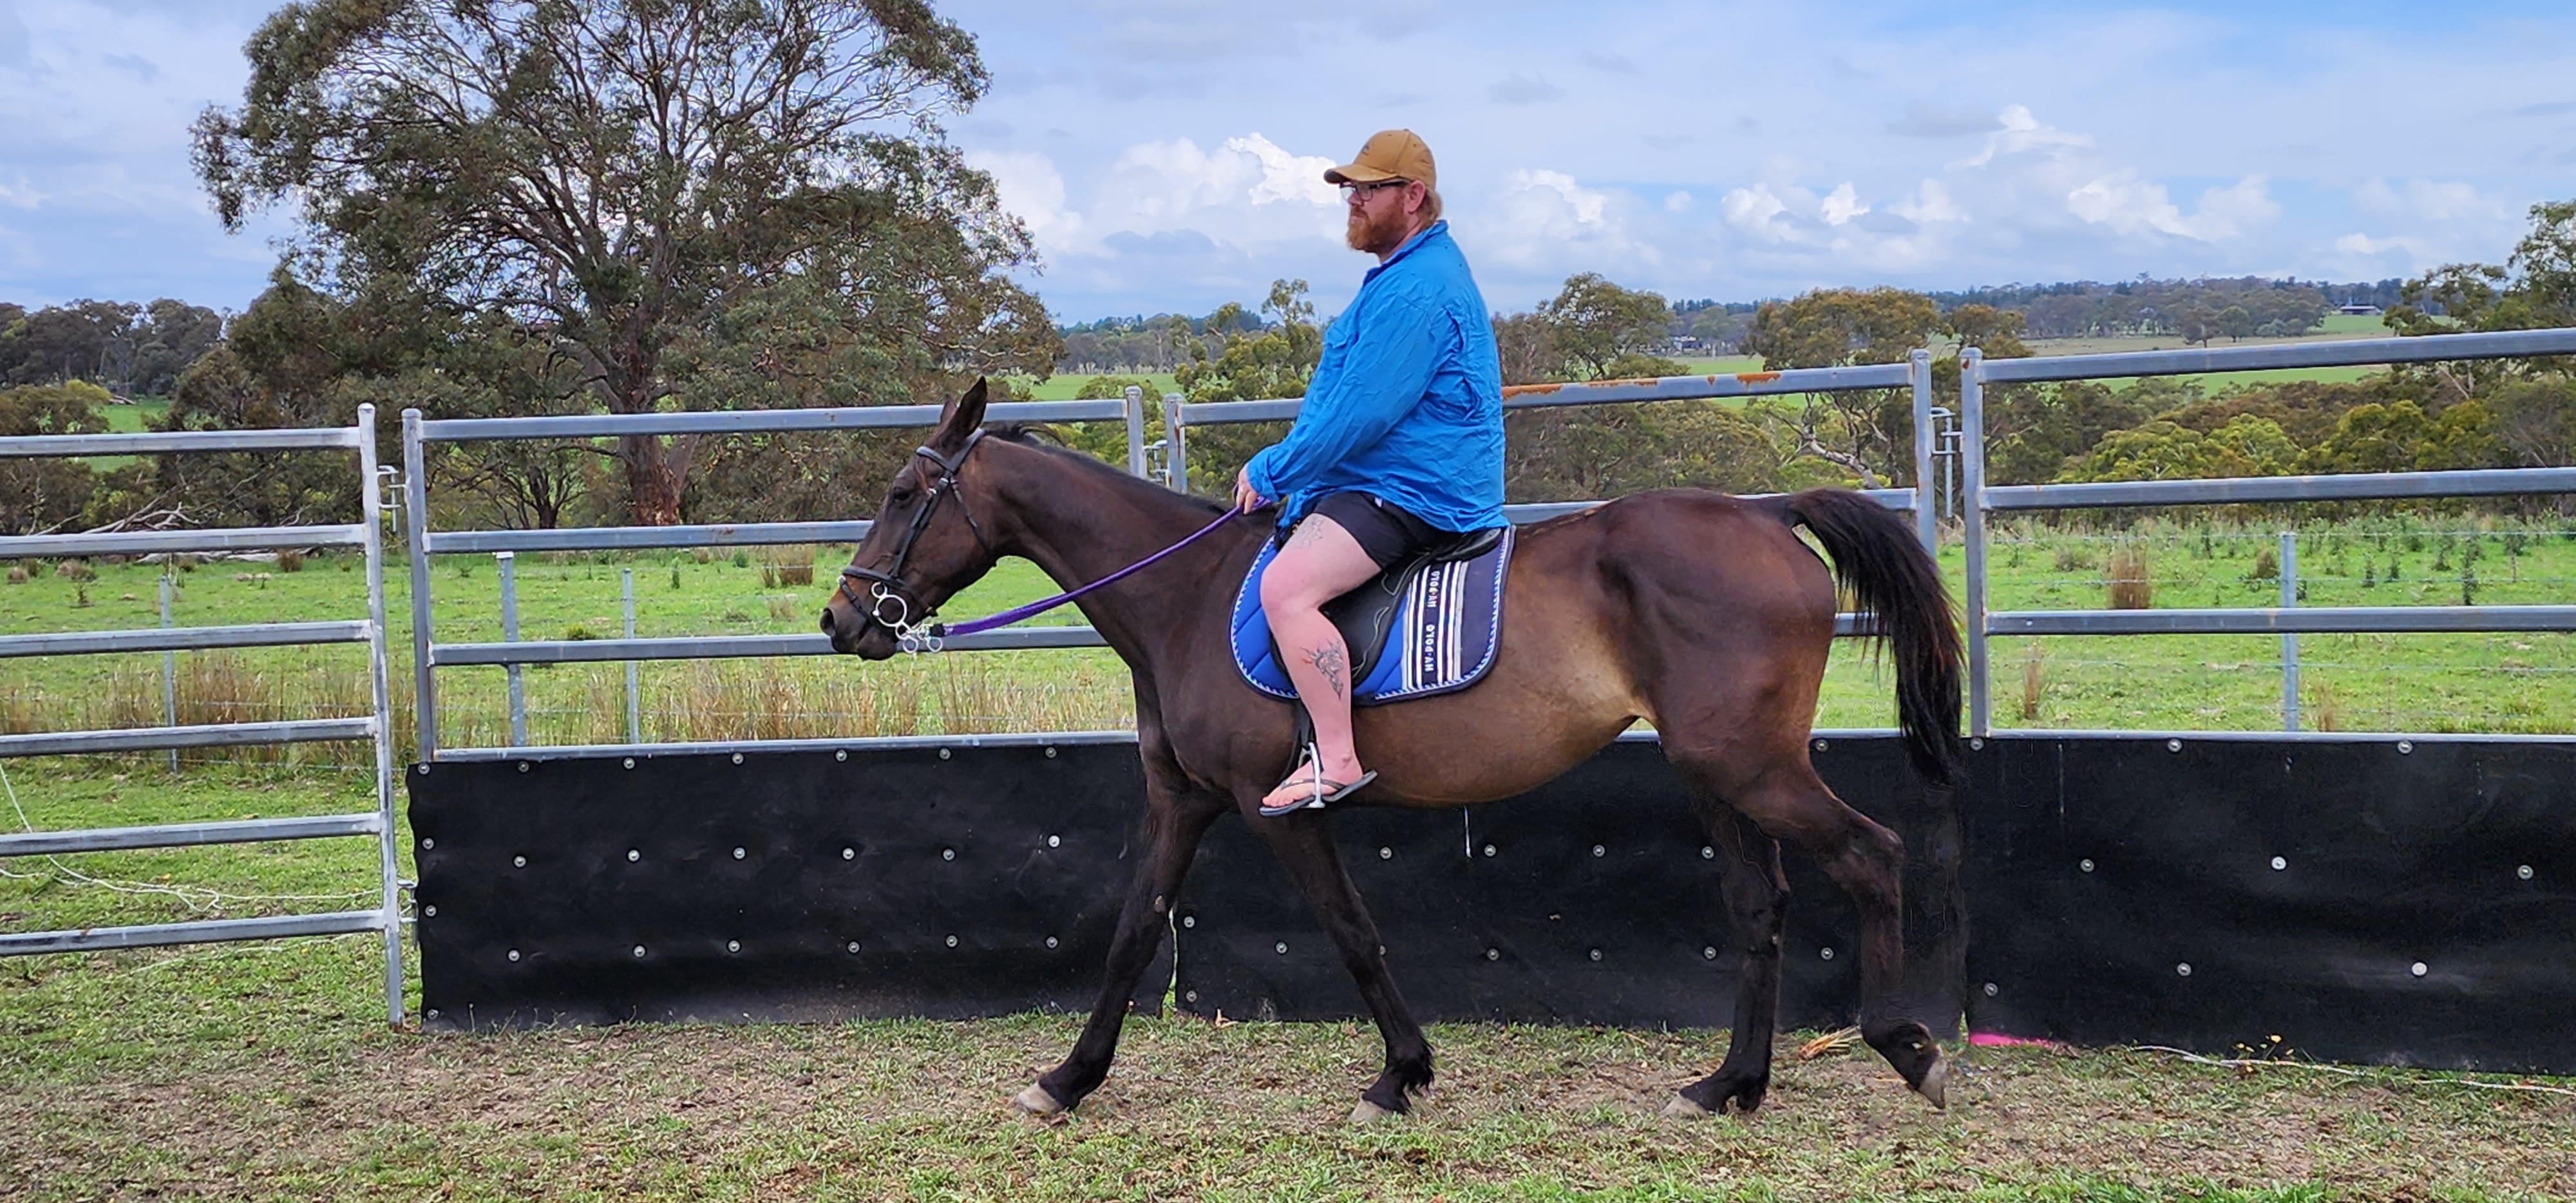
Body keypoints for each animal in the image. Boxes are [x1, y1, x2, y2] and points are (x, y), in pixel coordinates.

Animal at [819, 380, 1963, 1121]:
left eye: (900, 496)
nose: (844, 620)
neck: (1183, 597)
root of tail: (1770, 516)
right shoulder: (1182, 802)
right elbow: (1136, 932)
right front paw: (1068, 1080)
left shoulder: (1271, 805)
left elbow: (1352, 931)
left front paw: (1401, 1074)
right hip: (1717, 772)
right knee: (1759, 907)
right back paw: (1733, 1085)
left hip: (1754, 768)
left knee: (1872, 855)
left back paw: (1905, 1047)